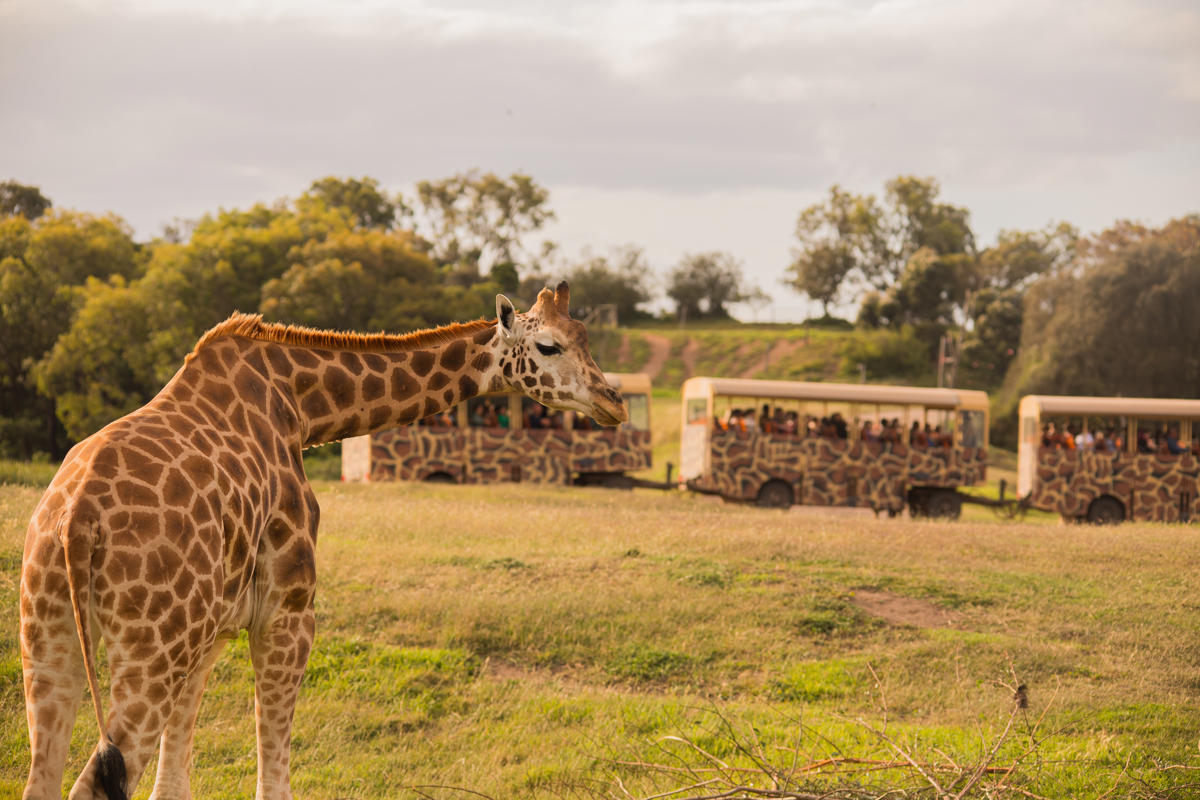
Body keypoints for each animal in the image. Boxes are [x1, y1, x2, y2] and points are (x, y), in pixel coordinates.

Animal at [21, 283, 628, 800]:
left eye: (584, 337)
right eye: (548, 346)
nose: (614, 401)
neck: (302, 406)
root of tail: (77, 522)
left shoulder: (212, 628)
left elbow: (173, 780)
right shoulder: (288, 610)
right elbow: (273, 779)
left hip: (49, 635)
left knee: (45, 774)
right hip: (150, 647)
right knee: (93, 781)